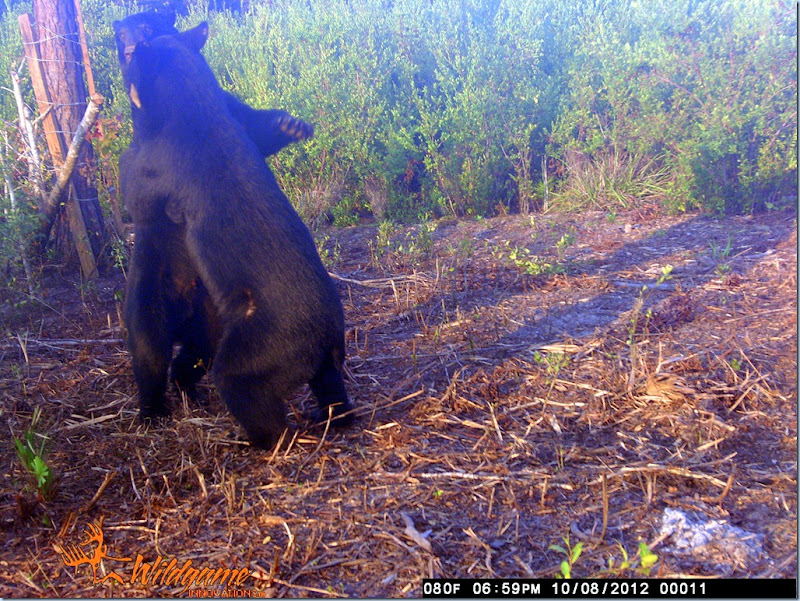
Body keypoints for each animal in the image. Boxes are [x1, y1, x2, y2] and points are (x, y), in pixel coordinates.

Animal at [122, 23, 354, 448]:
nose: (128, 49)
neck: (193, 107)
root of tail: (326, 337)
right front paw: (290, 126)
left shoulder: (158, 165)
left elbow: (138, 189)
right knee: (330, 388)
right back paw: (332, 416)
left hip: (262, 344)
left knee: (219, 376)